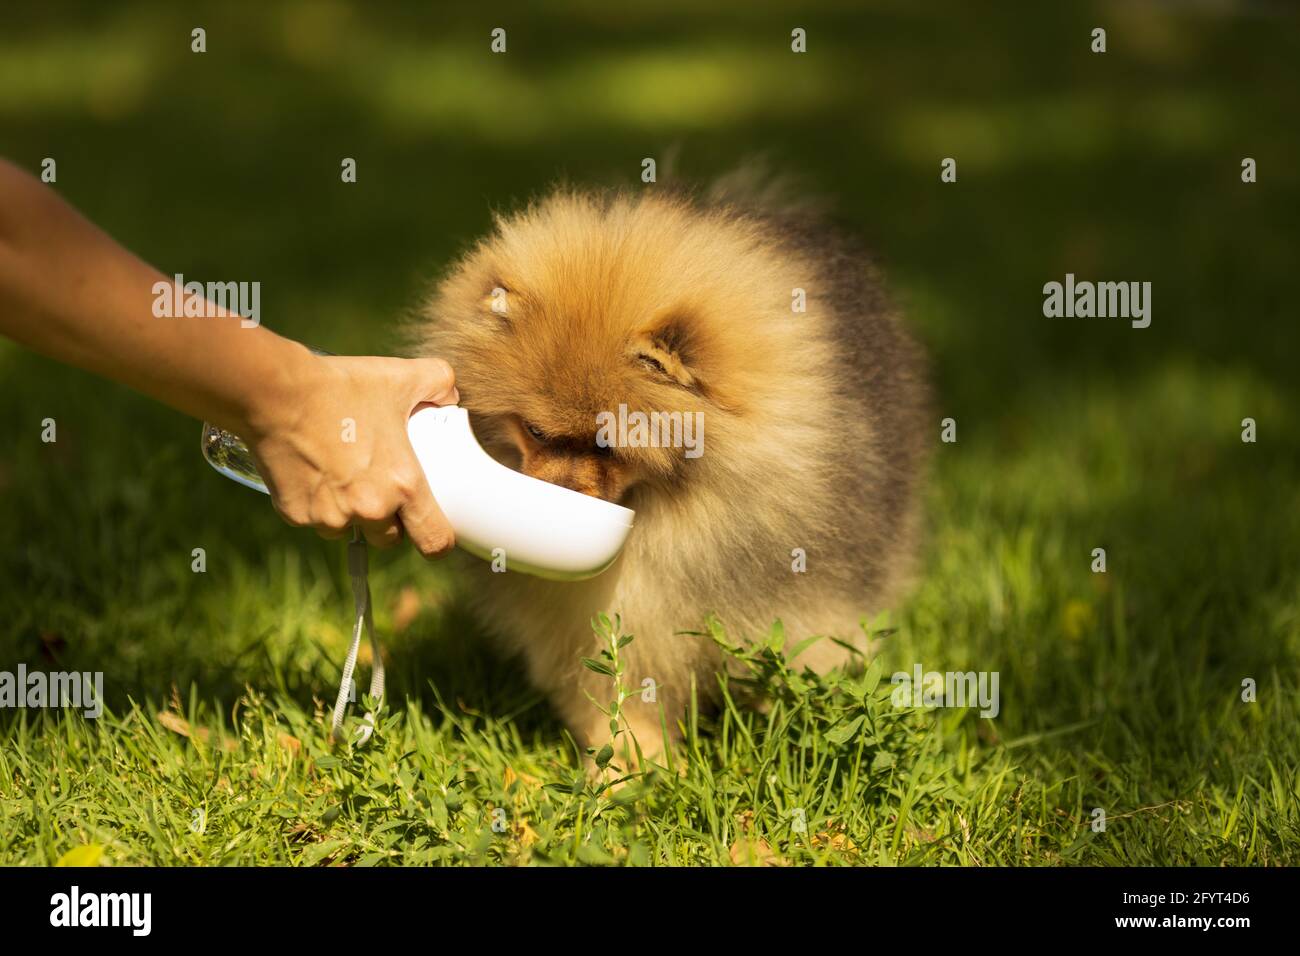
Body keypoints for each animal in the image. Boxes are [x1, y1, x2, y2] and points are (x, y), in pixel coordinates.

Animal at [410, 171, 930, 764]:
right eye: (536, 433)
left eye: (610, 446)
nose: (554, 496)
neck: (669, 512)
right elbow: (625, 701)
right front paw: (631, 769)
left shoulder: (805, 602)